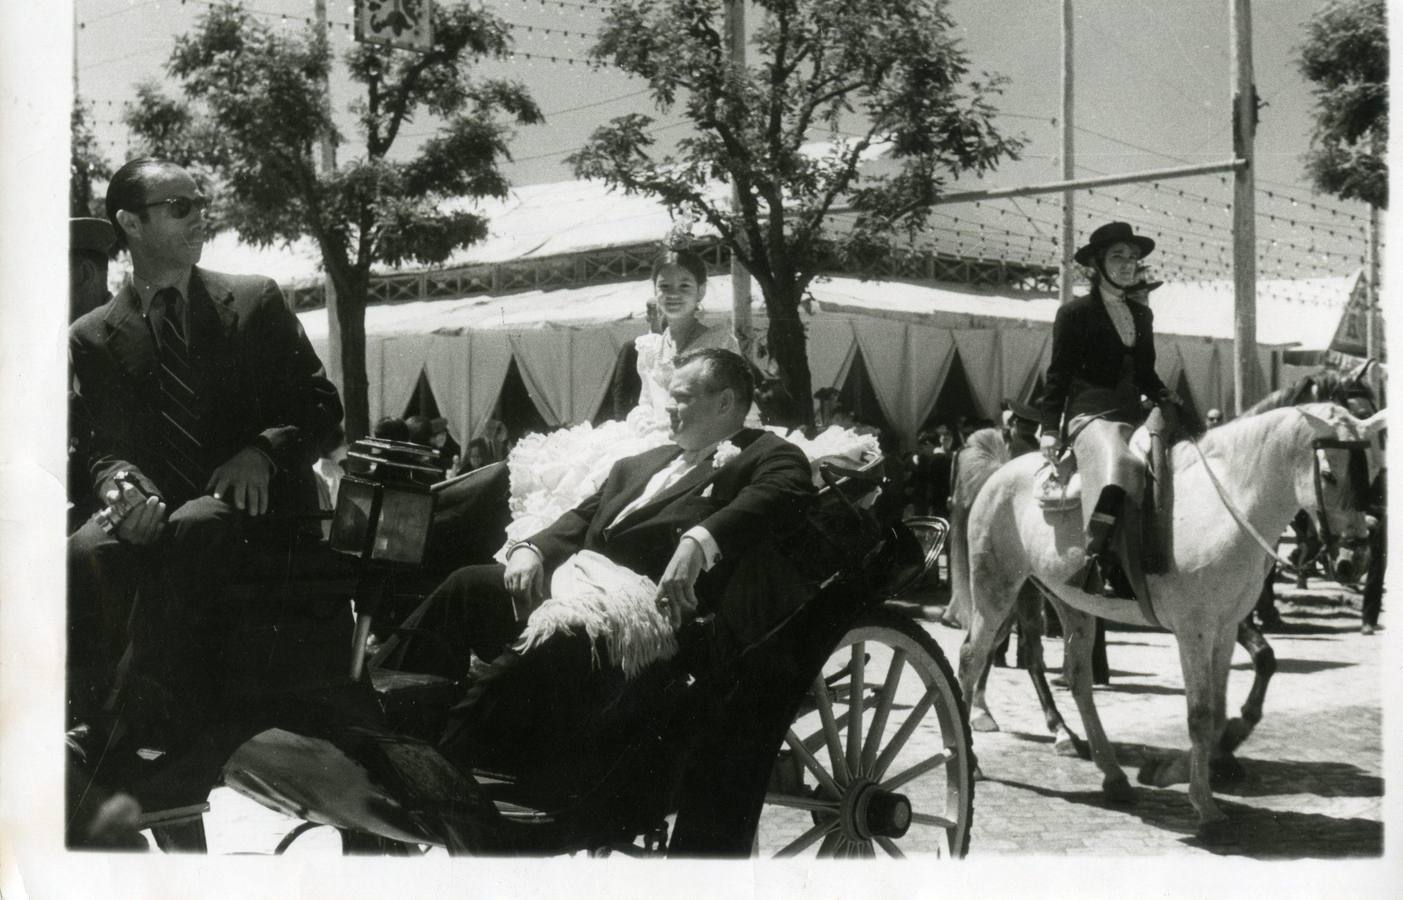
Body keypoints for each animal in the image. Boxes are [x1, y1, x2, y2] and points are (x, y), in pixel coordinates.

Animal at [954, 404, 1380, 836]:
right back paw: (970, 757)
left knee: (1076, 677)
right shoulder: (1194, 631)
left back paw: (1111, 772)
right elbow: (1201, 714)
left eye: (1375, 471)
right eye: (1329, 474)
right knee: (974, 658)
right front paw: (1205, 805)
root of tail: (1002, 471)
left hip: (1070, 602)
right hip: (998, 590)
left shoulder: (1225, 628)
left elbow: (1218, 710)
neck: (1226, 508)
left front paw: (1174, 769)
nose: (1355, 558)